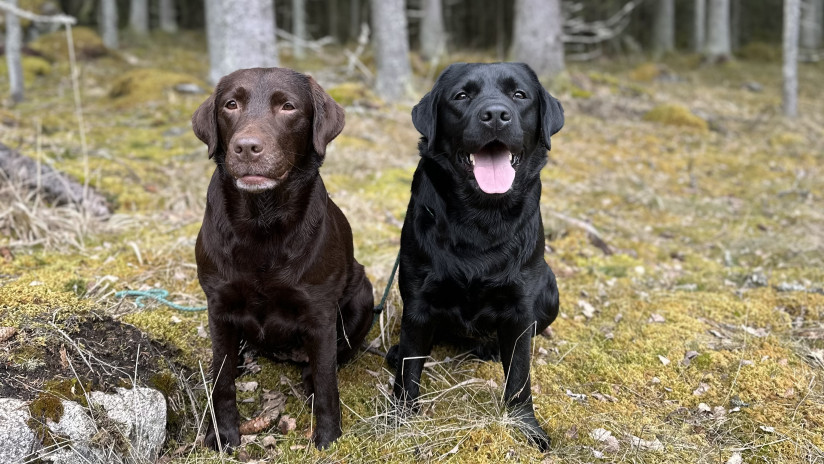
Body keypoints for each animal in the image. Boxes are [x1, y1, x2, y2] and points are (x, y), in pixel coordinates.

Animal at [192, 67, 372, 452]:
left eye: (288, 106)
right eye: (231, 104)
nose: (246, 147)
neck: (262, 221)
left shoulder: (319, 310)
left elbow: (327, 380)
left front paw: (328, 437)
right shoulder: (218, 304)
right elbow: (222, 380)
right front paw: (223, 434)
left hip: (364, 293)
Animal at [384, 61, 560, 450]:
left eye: (519, 95)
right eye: (462, 95)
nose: (495, 115)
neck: (481, 216)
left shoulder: (520, 307)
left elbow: (520, 376)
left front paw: (526, 426)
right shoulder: (418, 301)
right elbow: (409, 369)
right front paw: (399, 420)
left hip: (551, 289)